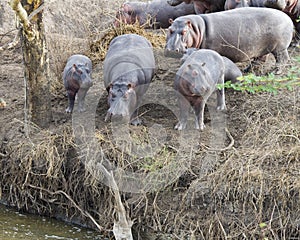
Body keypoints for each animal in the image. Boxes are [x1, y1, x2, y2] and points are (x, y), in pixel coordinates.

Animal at [164, 7, 292, 69]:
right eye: (169, 29)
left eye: (184, 31)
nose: (171, 50)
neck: (198, 28)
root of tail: (288, 18)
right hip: (262, 49)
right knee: (260, 59)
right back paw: (247, 70)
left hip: (280, 48)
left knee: (282, 59)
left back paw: (276, 72)